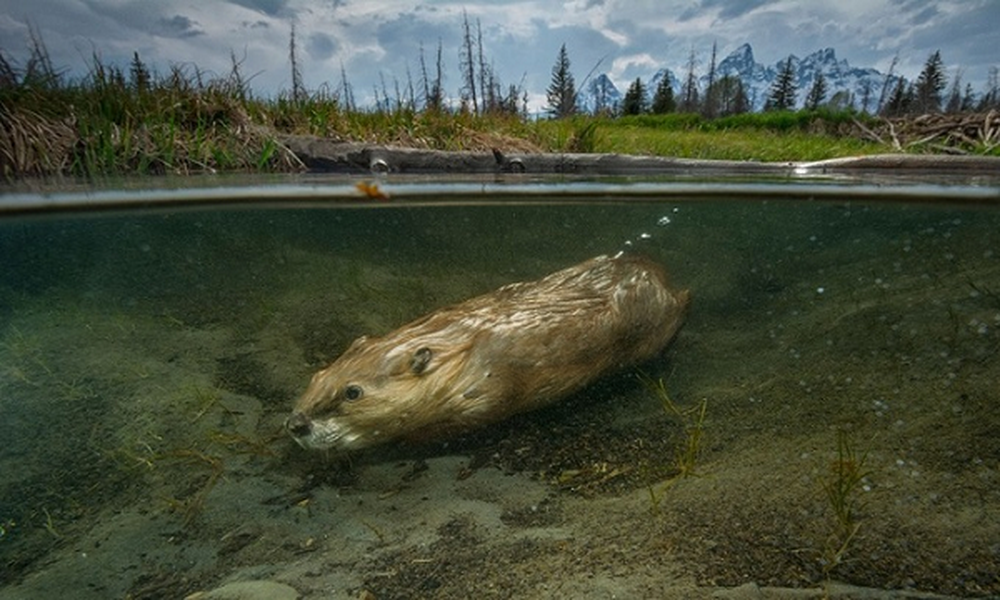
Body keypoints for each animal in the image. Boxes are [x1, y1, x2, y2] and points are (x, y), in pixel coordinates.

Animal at [282, 251, 688, 452]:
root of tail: (668, 280)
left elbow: (472, 419)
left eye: (353, 392)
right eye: (318, 375)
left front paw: (407, 440)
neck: (458, 346)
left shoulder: (488, 389)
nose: (296, 425)